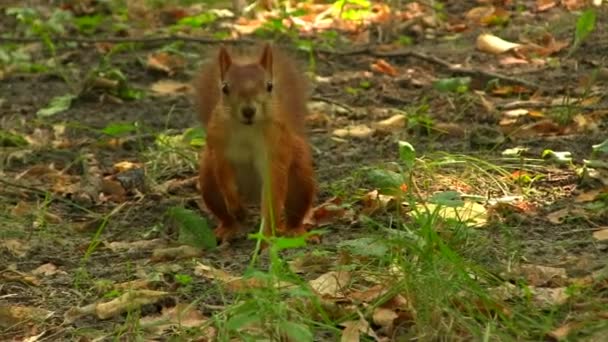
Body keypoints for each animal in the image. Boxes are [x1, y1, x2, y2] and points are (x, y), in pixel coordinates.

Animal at [195, 43, 318, 243]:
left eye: (269, 86)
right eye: (224, 87)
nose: (248, 111)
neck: (247, 128)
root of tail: (250, 195)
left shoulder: (276, 151)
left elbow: (272, 197)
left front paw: (265, 236)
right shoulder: (219, 147)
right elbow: (224, 175)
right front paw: (236, 208)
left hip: (301, 180)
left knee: (293, 213)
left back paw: (294, 230)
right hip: (208, 183)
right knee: (223, 212)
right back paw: (228, 227)